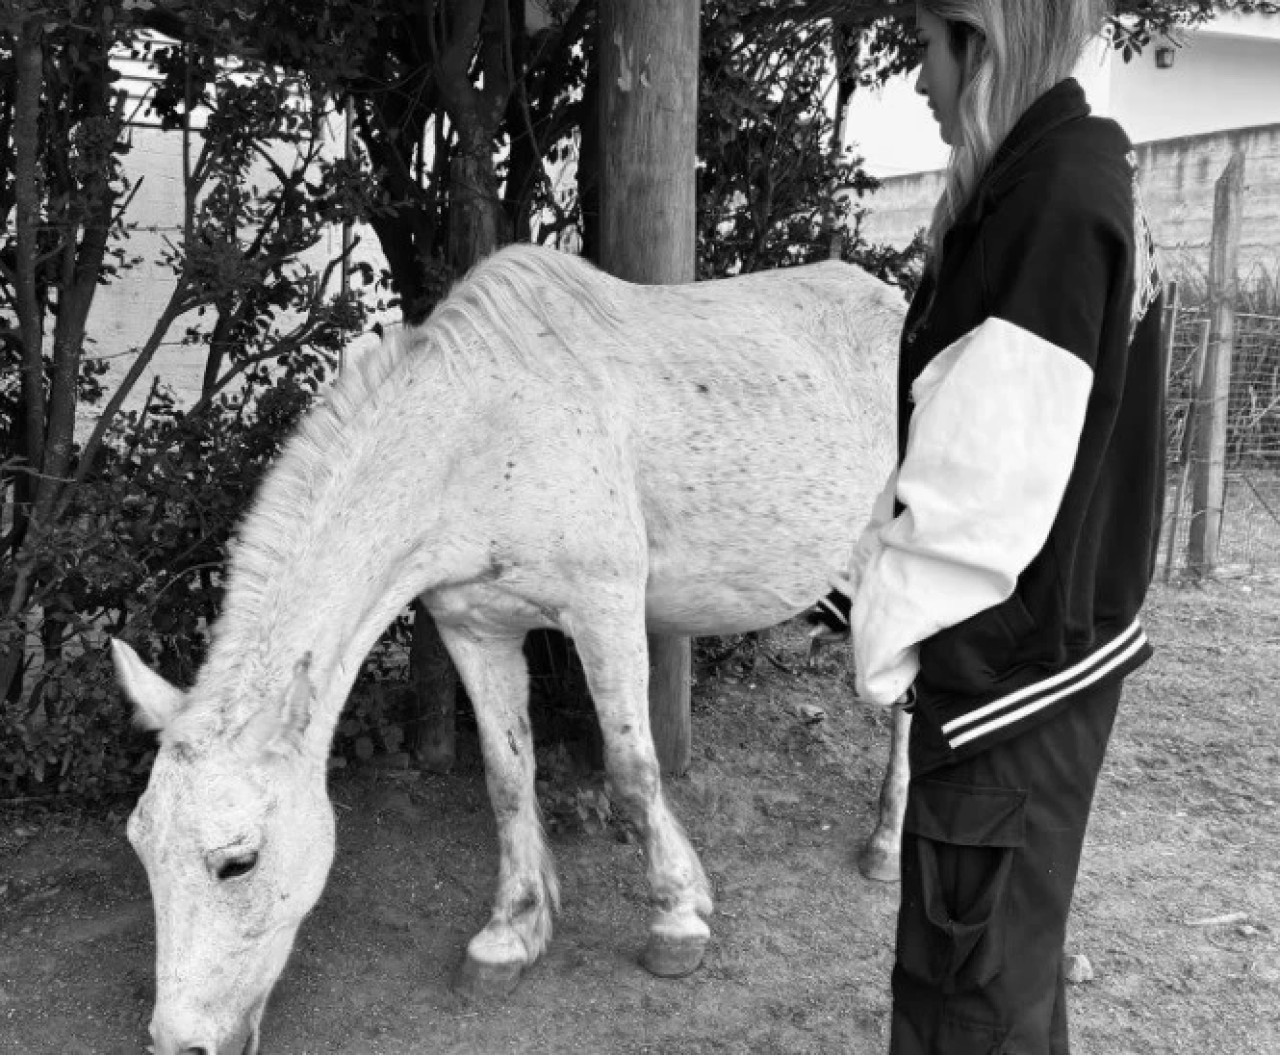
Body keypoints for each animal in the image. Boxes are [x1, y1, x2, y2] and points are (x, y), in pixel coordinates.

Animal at [112, 240, 911, 1055]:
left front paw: (677, 919)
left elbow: (633, 770)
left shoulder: (605, 609)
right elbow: (506, 775)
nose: (178, 1042)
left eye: (237, 862)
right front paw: (510, 934)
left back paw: (886, 845)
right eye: (141, 847)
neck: (483, 433)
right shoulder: (476, 627)